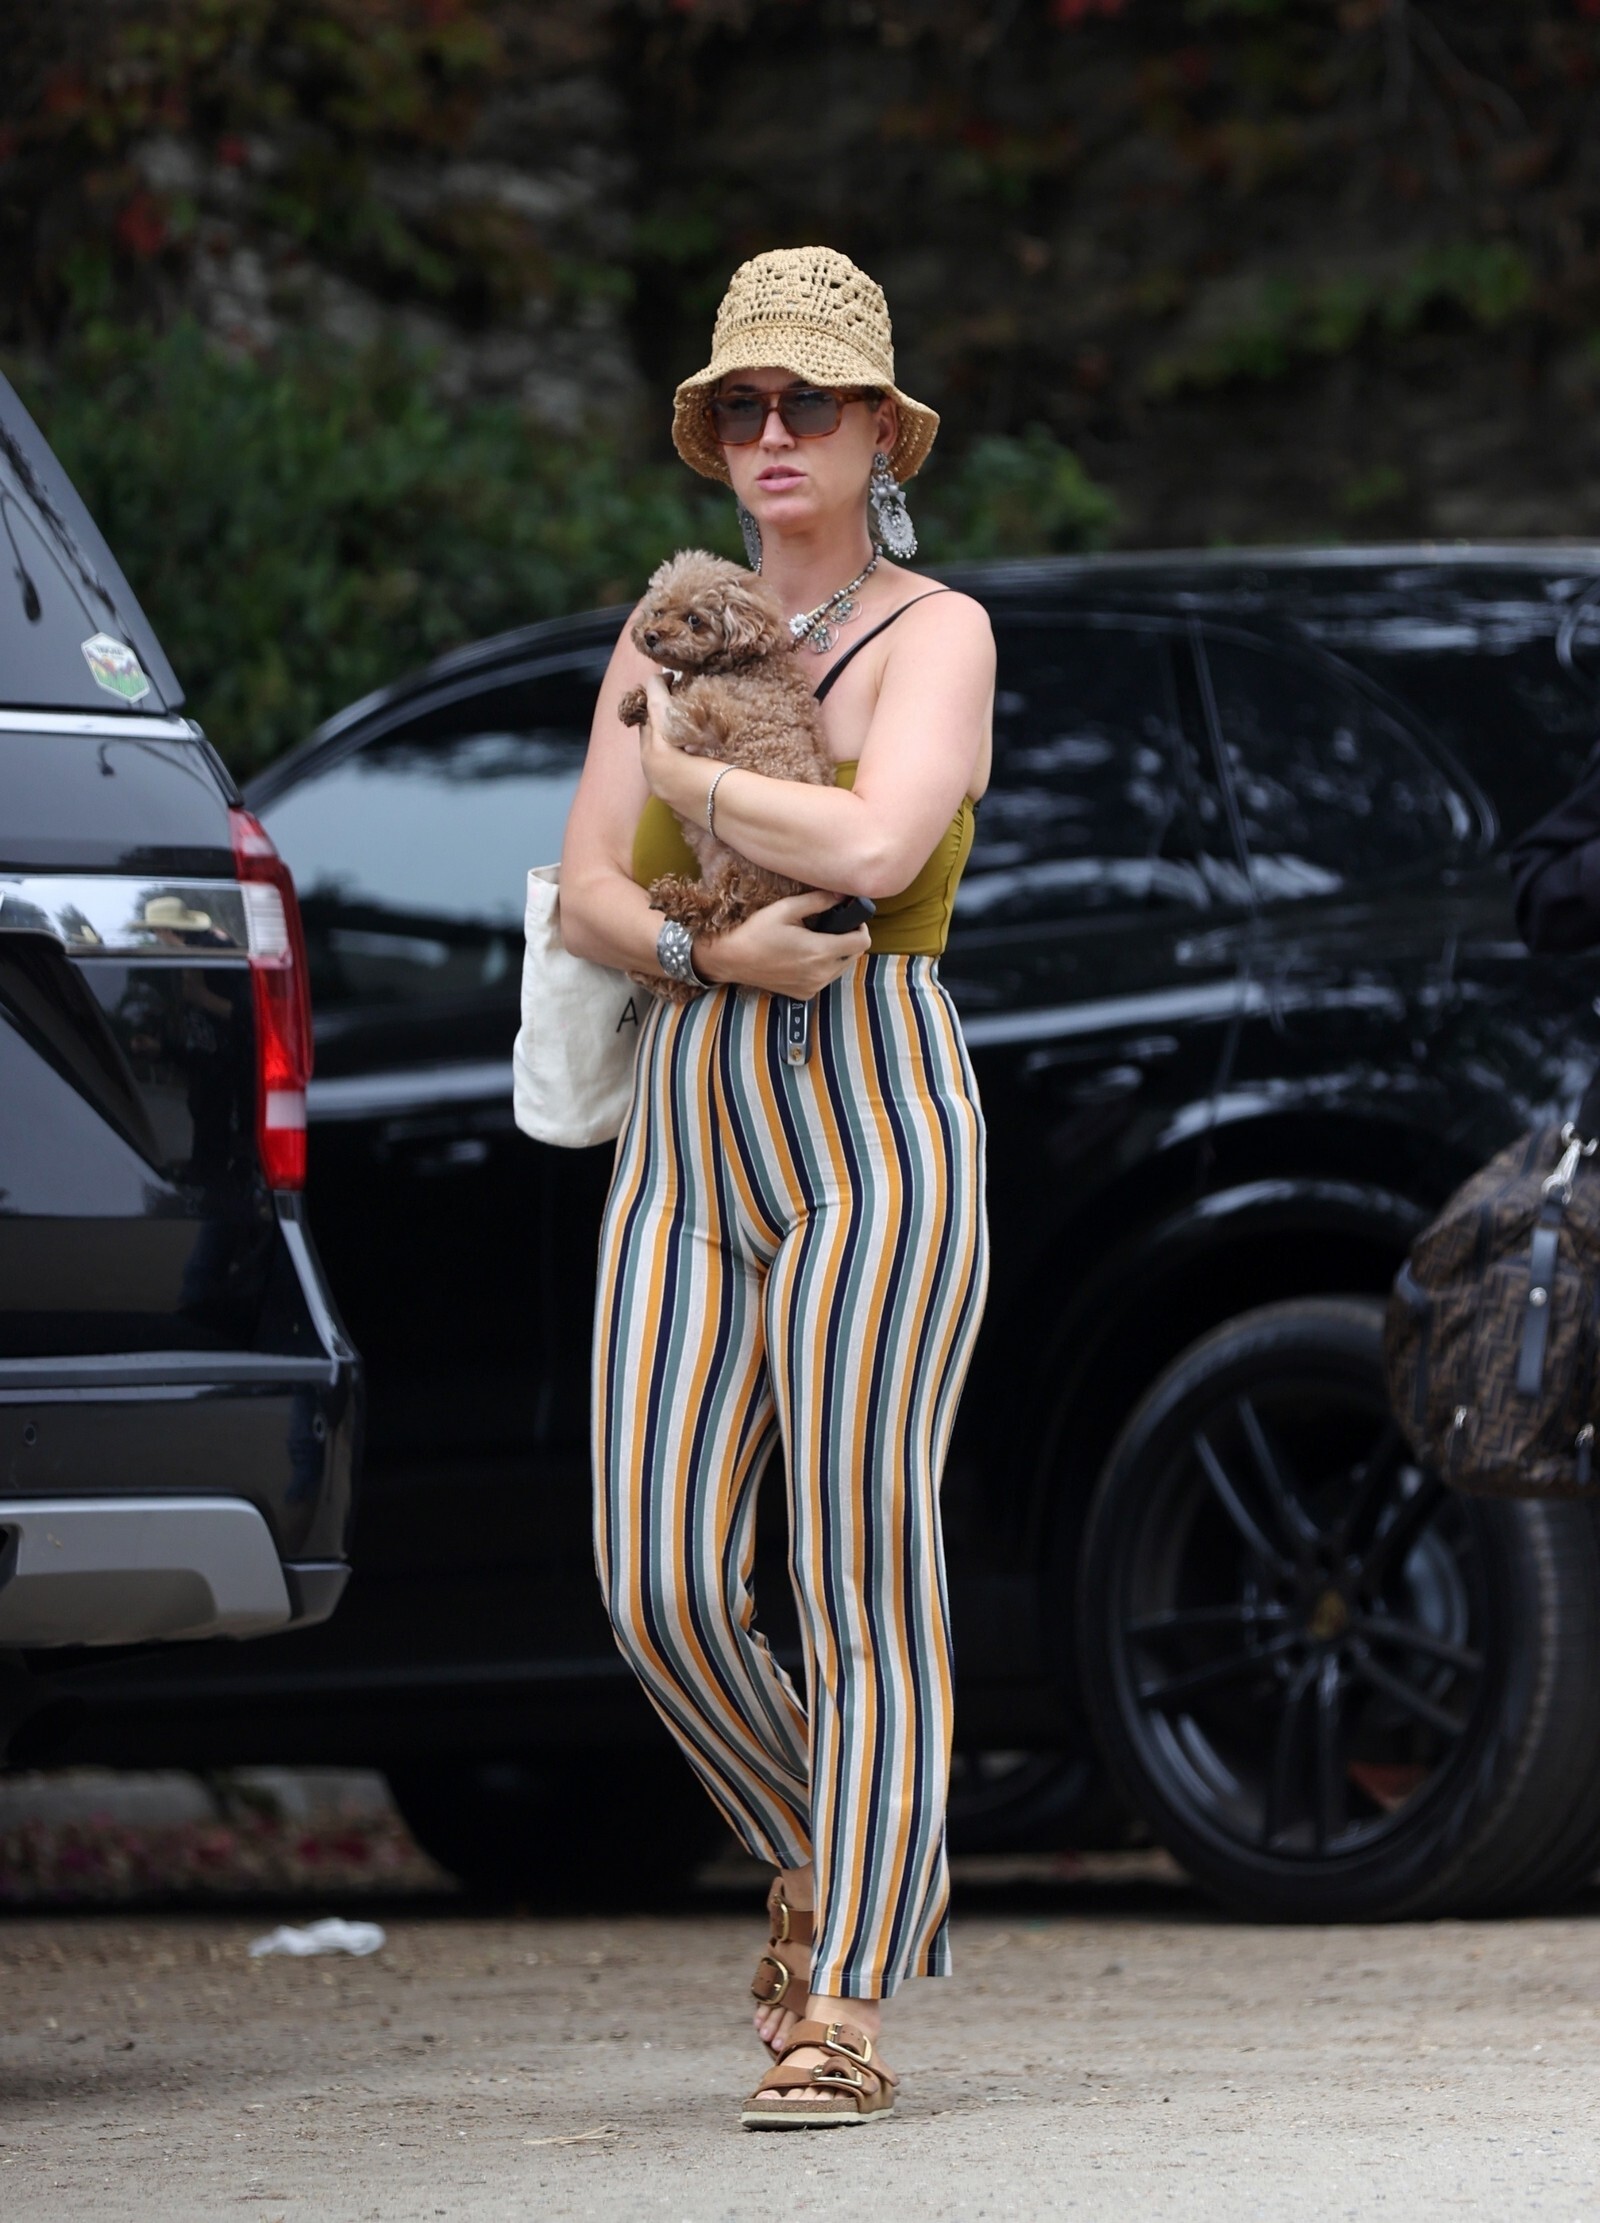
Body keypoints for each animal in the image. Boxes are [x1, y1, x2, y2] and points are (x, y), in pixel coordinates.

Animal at [618, 549, 836, 1003]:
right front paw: (634, 701)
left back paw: (674, 898)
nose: (652, 635)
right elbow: (665, 684)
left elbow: (690, 700)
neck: (741, 662)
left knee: (723, 909)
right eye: (659, 610)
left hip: (753, 877)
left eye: (695, 620)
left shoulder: (720, 718)